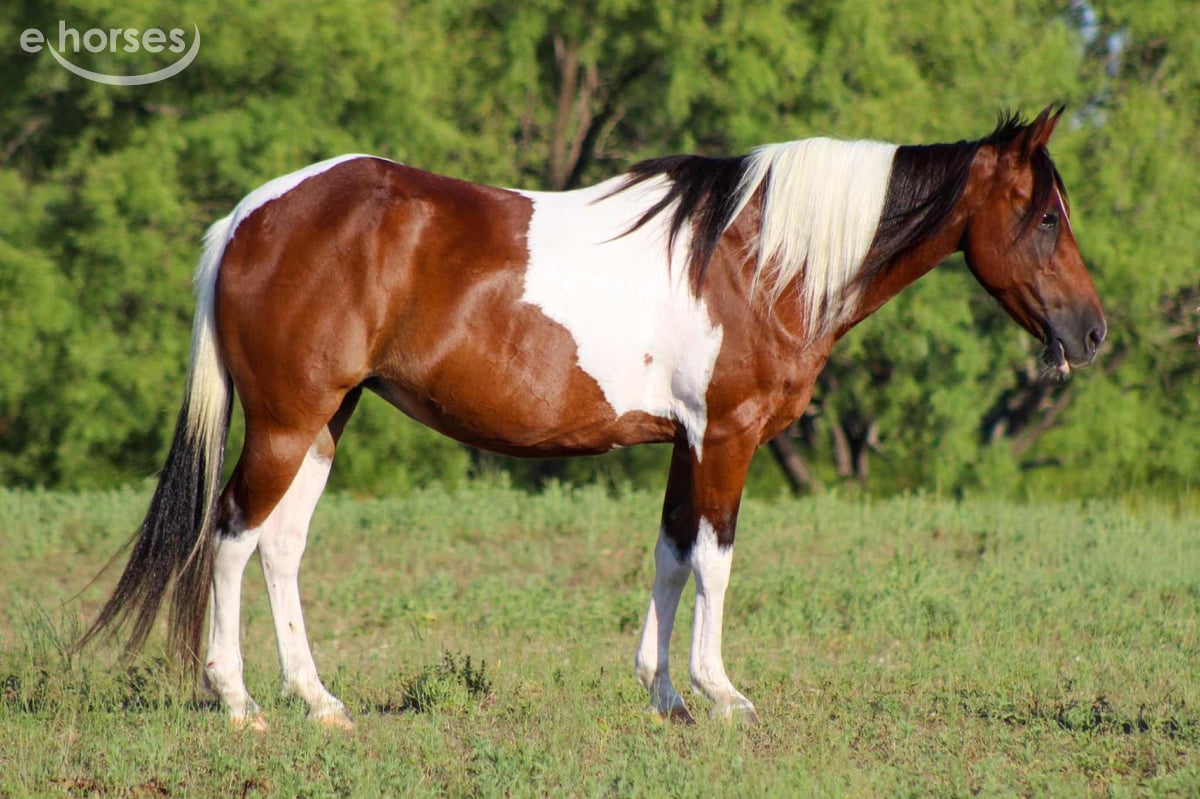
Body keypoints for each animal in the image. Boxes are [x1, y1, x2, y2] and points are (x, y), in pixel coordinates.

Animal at [81, 105, 1105, 729]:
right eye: (1046, 215)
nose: (1092, 332)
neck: (759, 257)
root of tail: (252, 216)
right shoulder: (727, 437)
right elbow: (717, 560)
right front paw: (723, 694)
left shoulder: (686, 443)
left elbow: (670, 555)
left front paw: (666, 697)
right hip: (289, 422)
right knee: (232, 536)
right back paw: (240, 702)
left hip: (329, 421)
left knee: (282, 546)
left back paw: (320, 700)